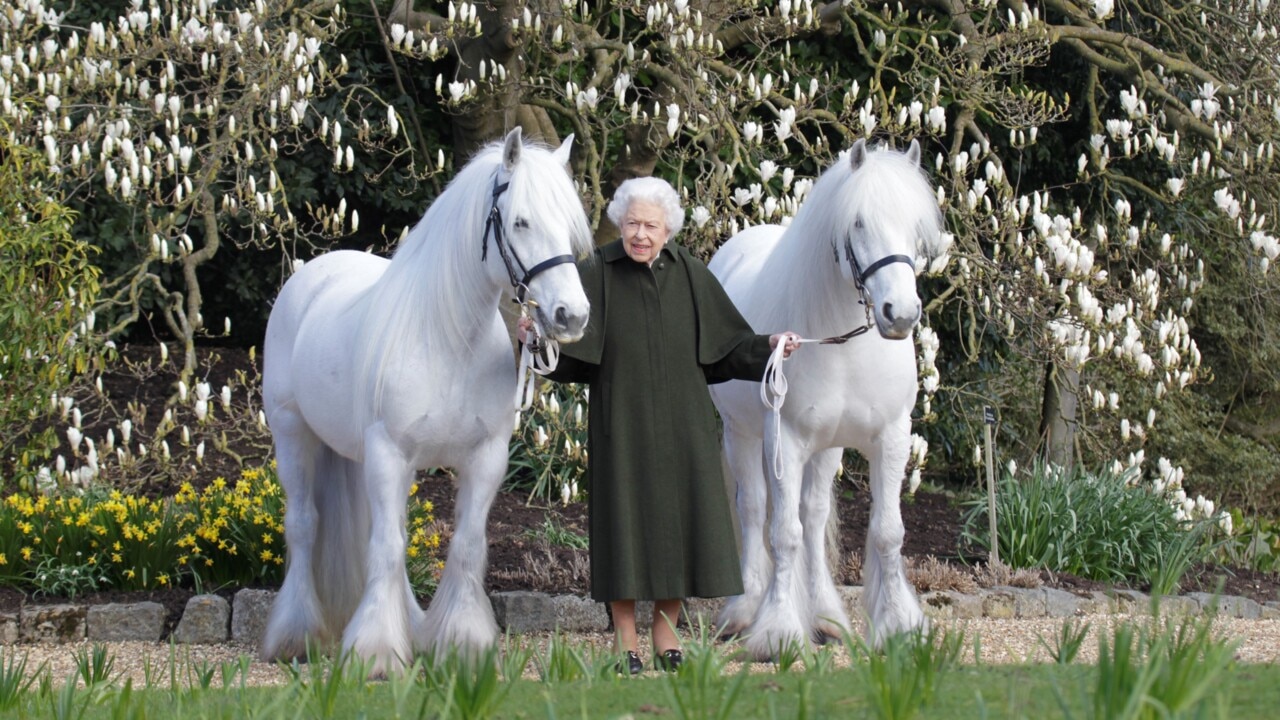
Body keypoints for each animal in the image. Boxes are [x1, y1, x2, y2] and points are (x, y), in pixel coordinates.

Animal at [264, 128, 593, 671]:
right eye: (521, 221)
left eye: (569, 227)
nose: (572, 315)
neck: (448, 341)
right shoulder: (389, 453)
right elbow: (387, 547)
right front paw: (376, 651)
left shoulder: (485, 458)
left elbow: (464, 545)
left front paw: (462, 642)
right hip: (293, 435)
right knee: (305, 526)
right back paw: (296, 634)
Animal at [711, 137, 952, 661]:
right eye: (858, 222)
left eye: (914, 225)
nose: (901, 314)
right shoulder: (785, 440)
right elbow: (783, 534)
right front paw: (778, 631)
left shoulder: (891, 438)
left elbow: (886, 531)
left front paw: (899, 626)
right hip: (742, 435)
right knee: (754, 509)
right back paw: (745, 610)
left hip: (828, 448)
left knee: (814, 513)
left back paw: (825, 617)